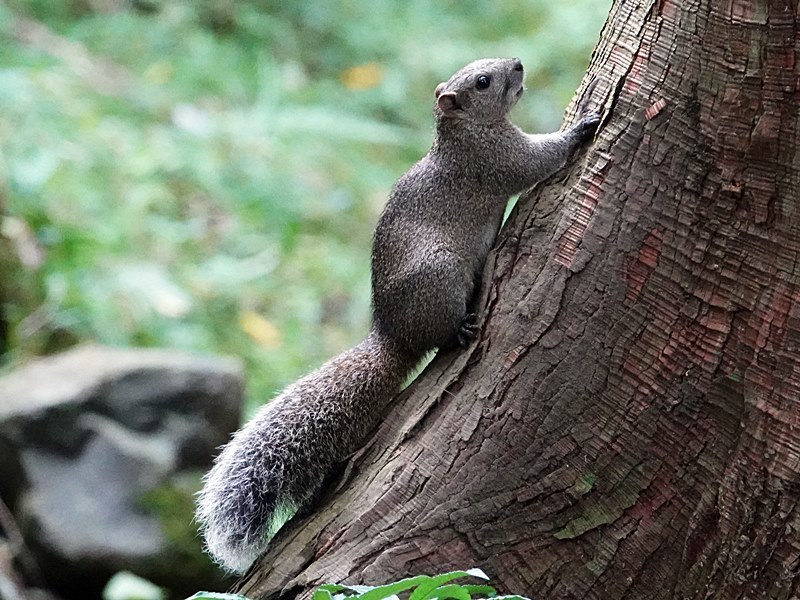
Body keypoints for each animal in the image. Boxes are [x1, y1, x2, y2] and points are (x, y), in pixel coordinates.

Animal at [195, 57, 600, 576]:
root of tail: (392, 337)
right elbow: (538, 160)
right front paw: (582, 127)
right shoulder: (497, 160)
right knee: (441, 335)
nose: (518, 63)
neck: (463, 133)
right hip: (441, 277)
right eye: (483, 81)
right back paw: (460, 330)